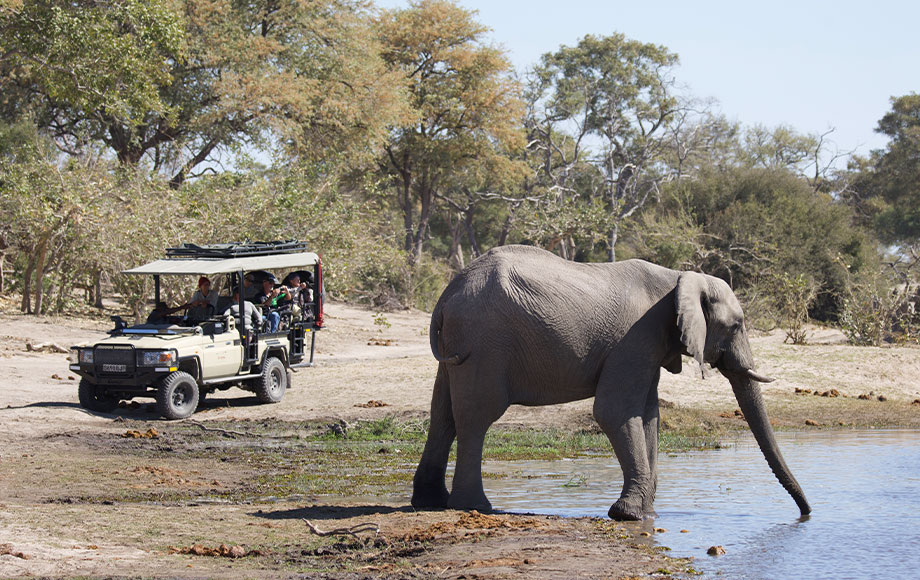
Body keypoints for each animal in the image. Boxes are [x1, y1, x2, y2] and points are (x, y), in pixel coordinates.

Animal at [414, 245, 808, 520]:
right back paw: (476, 507)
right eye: (737, 325)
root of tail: (446, 295)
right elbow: (614, 411)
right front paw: (630, 515)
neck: (680, 278)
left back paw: (430, 503)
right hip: (484, 343)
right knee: (477, 416)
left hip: (460, 345)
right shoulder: (636, 337)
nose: (806, 514)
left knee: (443, 414)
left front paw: (645, 512)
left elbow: (648, 415)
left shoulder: (649, 344)